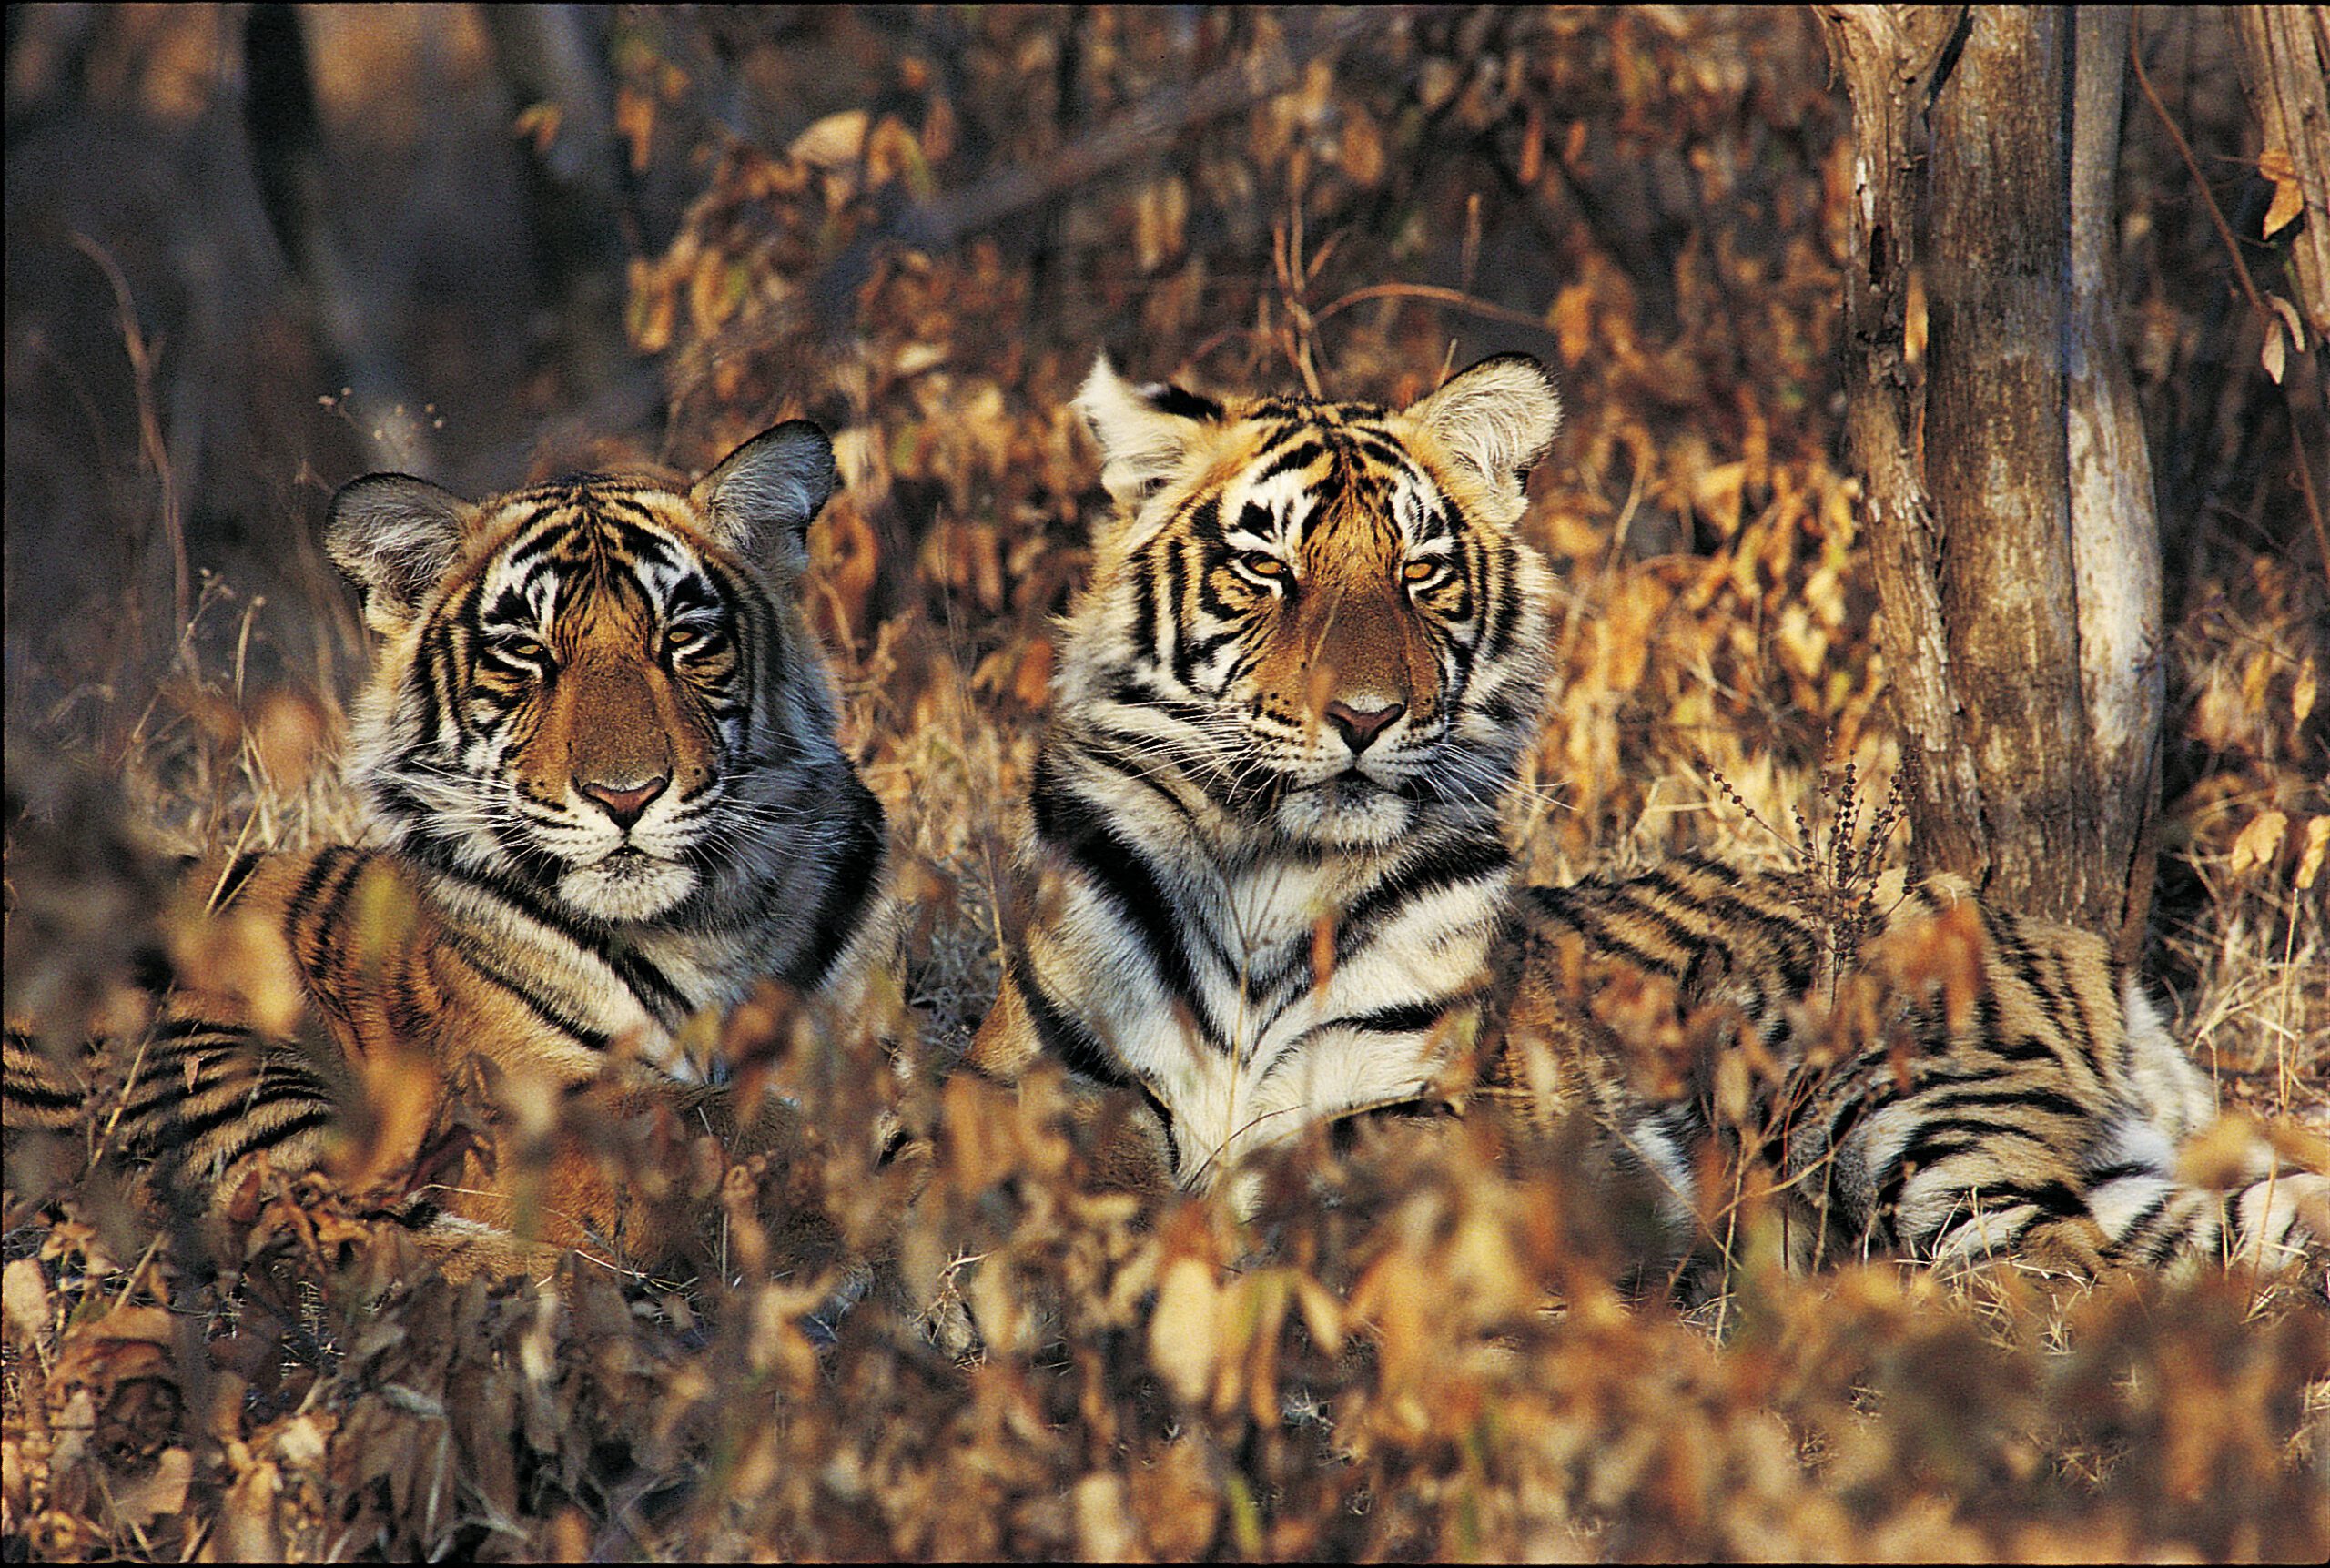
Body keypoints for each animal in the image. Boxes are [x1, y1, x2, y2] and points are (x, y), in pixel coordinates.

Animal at [5, 420, 893, 1278]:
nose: (626, 796)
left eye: (683, 640)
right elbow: (718, 1122)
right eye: (528, 653)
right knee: (330, 1240)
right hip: (213, 1062)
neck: (714, 922)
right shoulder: (513, 1106)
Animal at [965, 351, 2326, 1283]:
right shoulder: (1048, 1080)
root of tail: (2072, 945)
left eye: (1419, 571)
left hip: (1901, 1108)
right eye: (1268, 569)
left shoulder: (1407, 1116)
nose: (1365, 716)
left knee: (2065, 1276)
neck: (1269, 872)